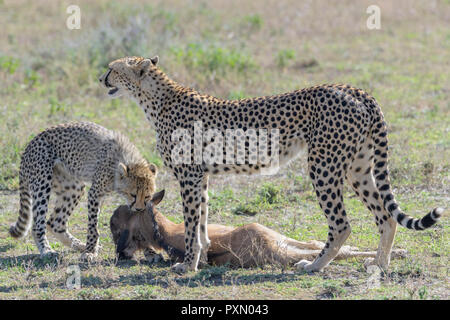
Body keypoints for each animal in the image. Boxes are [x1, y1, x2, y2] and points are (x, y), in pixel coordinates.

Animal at [9, 121, 158, 262]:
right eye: (133, 195)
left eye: (147, 196)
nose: (139, 209)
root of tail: (30, 144)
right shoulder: (95, 193)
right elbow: (93, 227)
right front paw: (90, 251)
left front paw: (151, 253)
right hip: (43, 183)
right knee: (38, 225)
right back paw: (47, 250)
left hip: (73, 189)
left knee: (55, 223)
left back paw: (79, 245)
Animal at [99, 56, 442, 274]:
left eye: (112, 68)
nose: (101, 78)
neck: (156, 99)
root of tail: (353, 88)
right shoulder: (201, 177)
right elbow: (202, 223)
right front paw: (203, 261)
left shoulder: (189, 176)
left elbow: (192, 225)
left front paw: (189, 264)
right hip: (358, 166)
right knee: (386, 216)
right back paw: (380, 265)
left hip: (323, 165)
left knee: (342, 224)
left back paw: (314, 266)